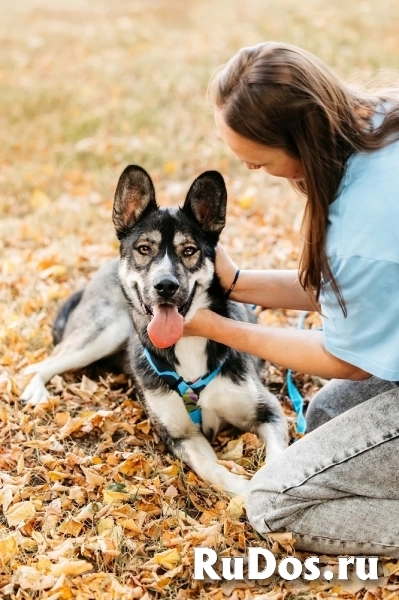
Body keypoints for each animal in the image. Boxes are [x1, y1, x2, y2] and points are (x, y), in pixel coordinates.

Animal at [20, 165, 290, 496]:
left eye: (189, 250)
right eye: (144, 249)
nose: (165, 286)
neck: (186, 344)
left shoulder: (268, 410)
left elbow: (279, 461)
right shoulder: (180, 435)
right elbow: (211, 468)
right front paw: (245, 492)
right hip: (103, 332)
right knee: (44, 362)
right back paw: (34, 388)